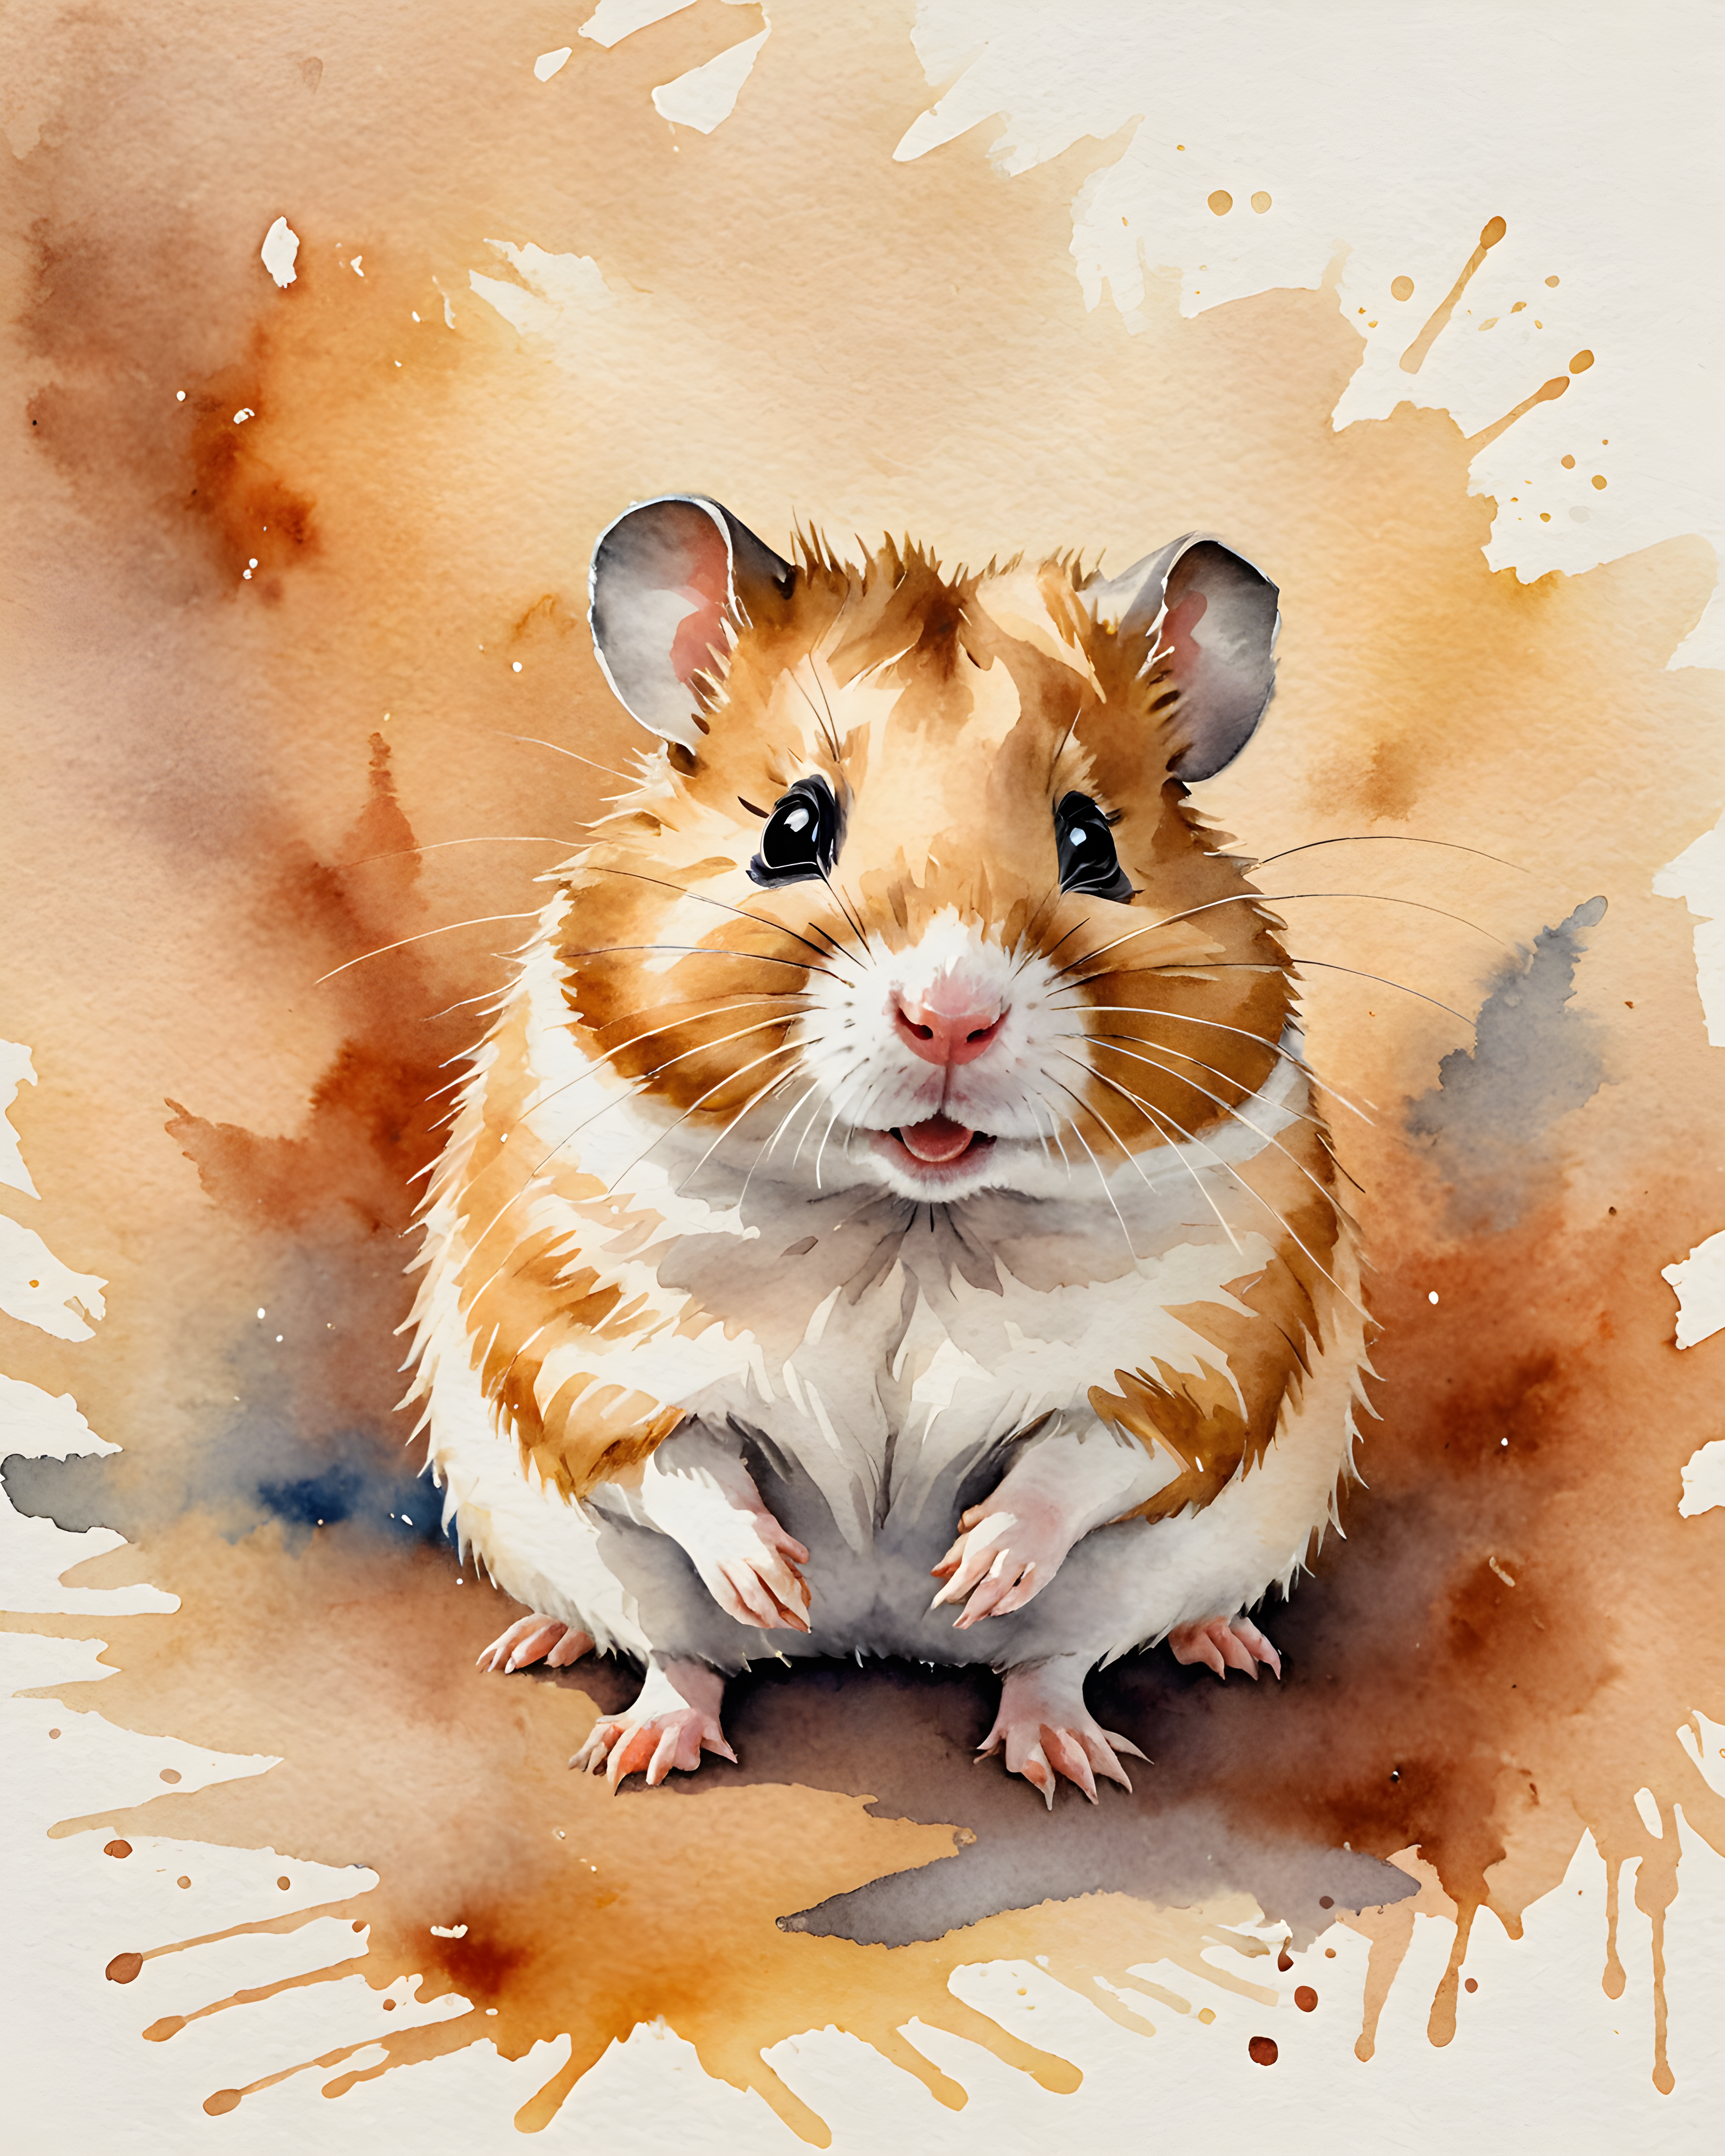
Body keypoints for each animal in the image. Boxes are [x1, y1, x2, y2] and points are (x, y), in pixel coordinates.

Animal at [405, 494, 1370, 1806]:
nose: (951, 1017)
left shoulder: (1202, 1357)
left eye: (1093, 843)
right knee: (678, 1656)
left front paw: (972, 1570)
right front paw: (777, 1576)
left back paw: (1104, 1733)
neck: (909, 1219)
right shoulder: (579, 1346)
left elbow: (1085, 1459)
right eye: (792, 827)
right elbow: (680, 1462)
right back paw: (620, 1727)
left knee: (1055, 1662)